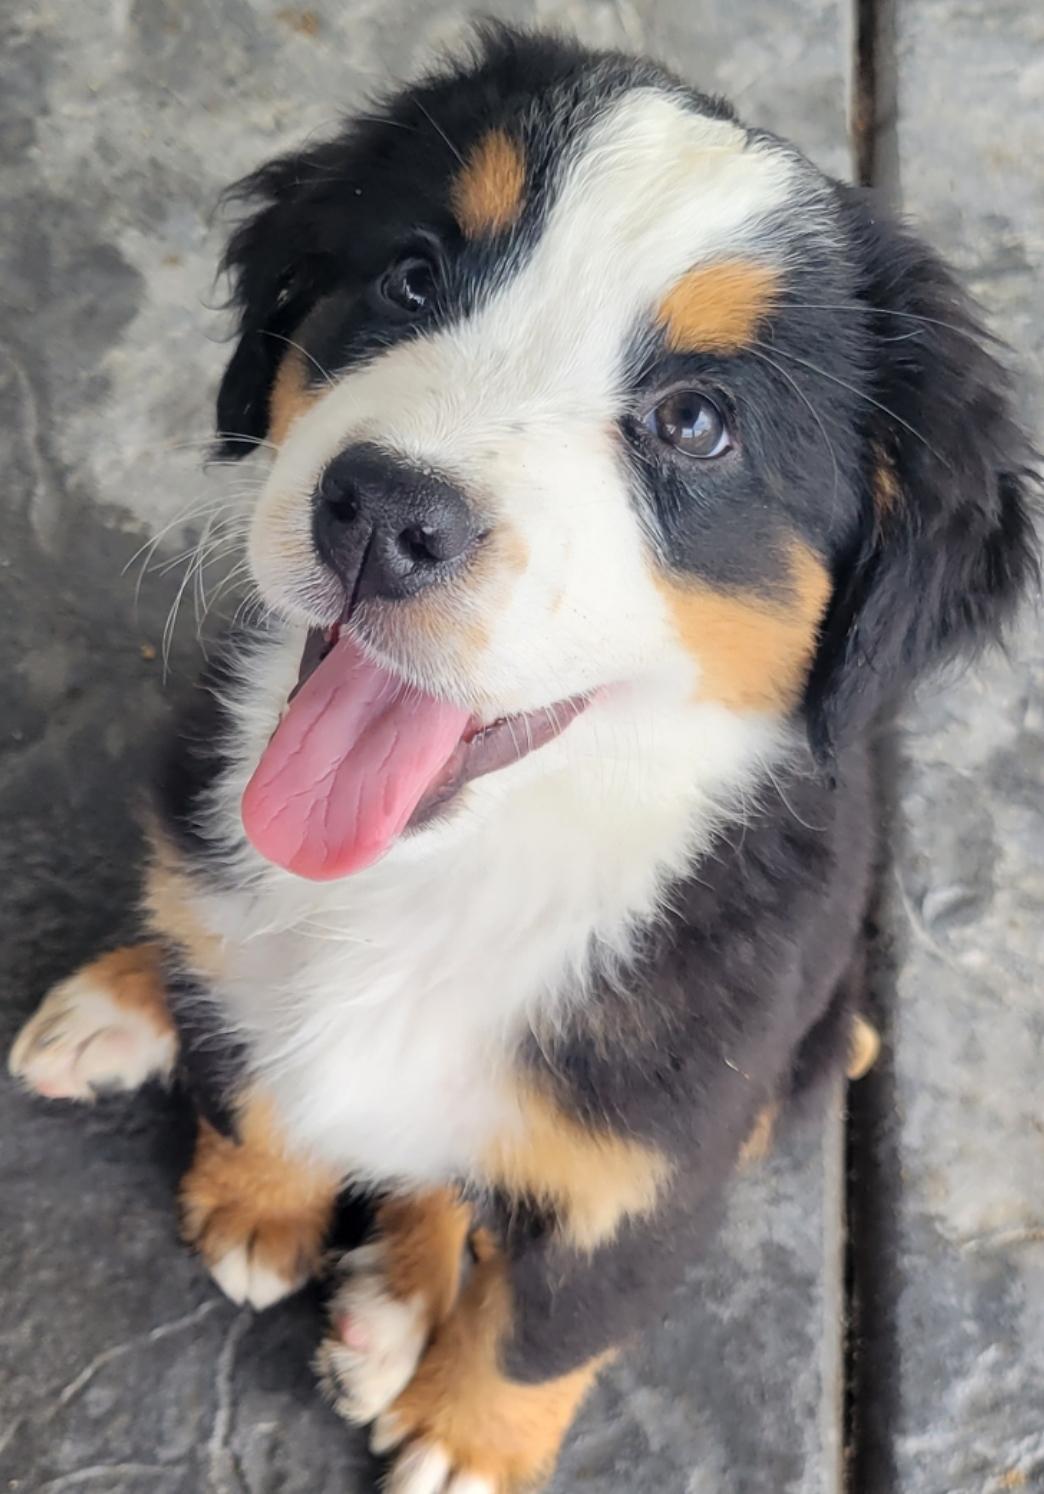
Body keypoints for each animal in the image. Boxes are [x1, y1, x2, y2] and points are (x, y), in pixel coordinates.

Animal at [9, 24, 1037, 1493]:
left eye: (696, 422)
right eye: (412, 275)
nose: (383, 513)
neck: (449, 873)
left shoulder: (653, 1161)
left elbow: (548, 1327)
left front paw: (466, 1440)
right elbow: (250, 1071)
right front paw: (258, 1195)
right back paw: (125, 1003)